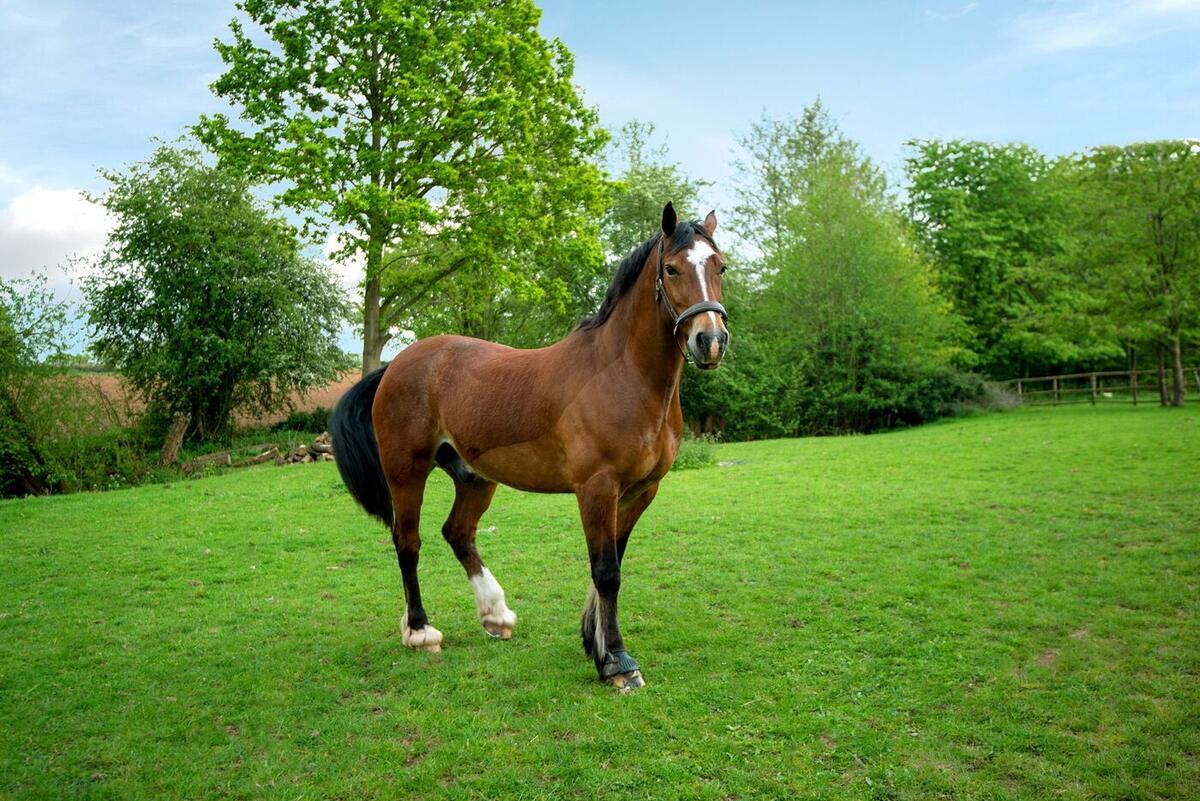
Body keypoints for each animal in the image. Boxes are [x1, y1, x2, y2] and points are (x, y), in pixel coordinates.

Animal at [330, 202, 729, 690]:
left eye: (720, 266)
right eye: (671, 268)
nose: (710, 340)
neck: (620, 375)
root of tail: (396, 365)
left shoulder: (640, 491)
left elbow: (611, 562)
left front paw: (594, 644)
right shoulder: (597, 487)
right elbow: (606, 572)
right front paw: (618, 662)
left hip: (474, 478)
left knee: (458, 533)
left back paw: (495, 615)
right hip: (406, 473)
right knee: (408, 543)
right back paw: (421, 630)